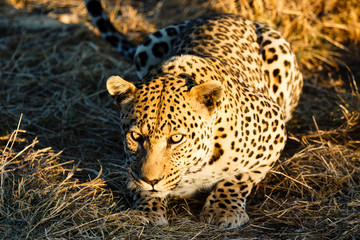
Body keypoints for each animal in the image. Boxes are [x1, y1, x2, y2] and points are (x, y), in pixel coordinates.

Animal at [86, 0, 302, 229]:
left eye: (176, 139)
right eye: (136, 137)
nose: (151, 181)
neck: (194, 169)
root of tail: (224, 15)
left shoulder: (274, 131)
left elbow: (238, 178)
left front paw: (223, 210)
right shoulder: (132, 165)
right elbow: (136, 179)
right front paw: (147, 210)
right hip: (147, 46)